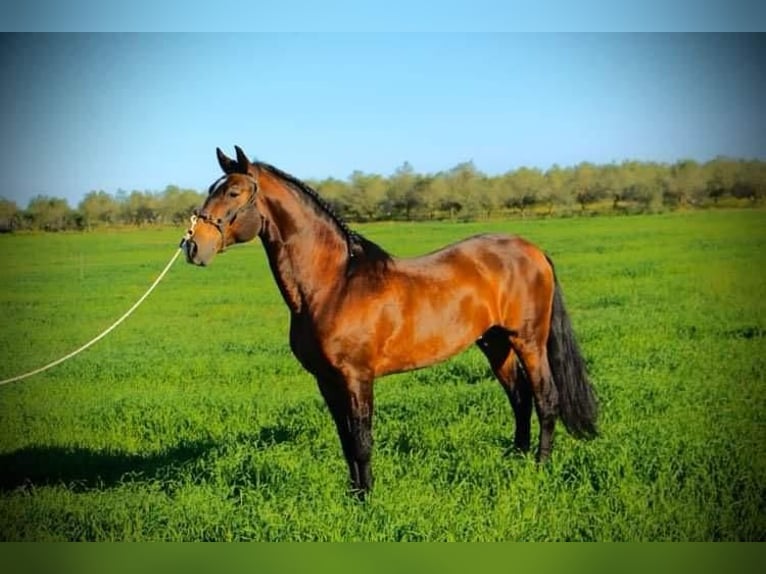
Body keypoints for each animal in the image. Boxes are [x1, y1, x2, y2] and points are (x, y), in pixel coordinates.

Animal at [182, 145, 600, 500]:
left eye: (234, 193)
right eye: (213, 189)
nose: (193, 246)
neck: (334, 284)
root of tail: (533, 251)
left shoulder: (357, 377)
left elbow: (362, 439)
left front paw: (367, 499)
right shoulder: (327, 380)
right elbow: (346, 439)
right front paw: (353, 495)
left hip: (528, 340)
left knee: (545, 398)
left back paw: (539, 467)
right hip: (495, 343)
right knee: (519, 397)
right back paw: (516, 458)